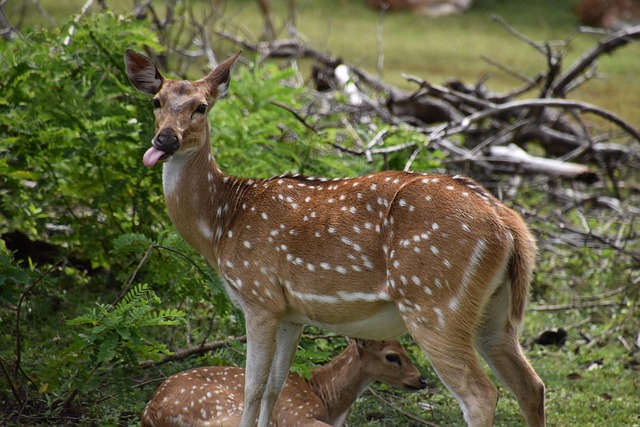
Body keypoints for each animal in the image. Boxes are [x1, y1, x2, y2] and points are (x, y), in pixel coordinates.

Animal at [141, 339, 426, 427]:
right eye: (392, 356)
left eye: (405, 346)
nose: (421, 379)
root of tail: (151, 411)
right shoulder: (296, 416)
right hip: (223, 408)